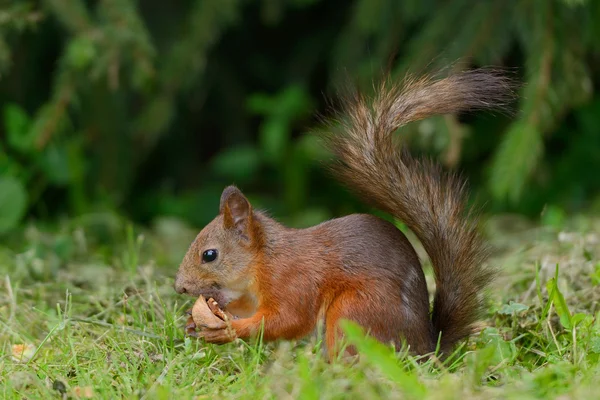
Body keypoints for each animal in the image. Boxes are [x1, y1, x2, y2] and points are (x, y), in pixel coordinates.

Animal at [173, 69, 510, 356]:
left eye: (209, 255)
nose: (180, 287)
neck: (264, 260)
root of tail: (426, 349)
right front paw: (196, 319)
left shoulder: (294, 281)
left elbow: (288, 320)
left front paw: (227, 330)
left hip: (353, 311)